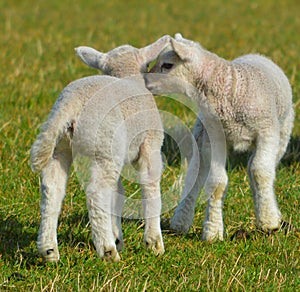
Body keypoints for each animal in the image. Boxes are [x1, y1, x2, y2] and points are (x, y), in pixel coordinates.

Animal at [31, 34, 171, 262]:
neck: (127, 75)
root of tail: (72, 102)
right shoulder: (150, 145)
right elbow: (150, 188)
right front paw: (153, 242)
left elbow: (118, 193)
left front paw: (117, 236)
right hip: (105, 145)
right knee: (96, 194)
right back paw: (107, 251)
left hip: (63, 146)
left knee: (52, 188)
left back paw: (49, 250)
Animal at [144, 33, 294, 241]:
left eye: (167, 65)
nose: (144, 82)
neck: (230, 88)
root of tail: (256, 55)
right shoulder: (215, 138)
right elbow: (217, 183)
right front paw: (213, 231)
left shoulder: (267, 133)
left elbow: (260, 172)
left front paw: (269, 221)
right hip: (201, 135)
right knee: (195, 174)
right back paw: (180, 221)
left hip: (283, 134)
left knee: (257, 168)